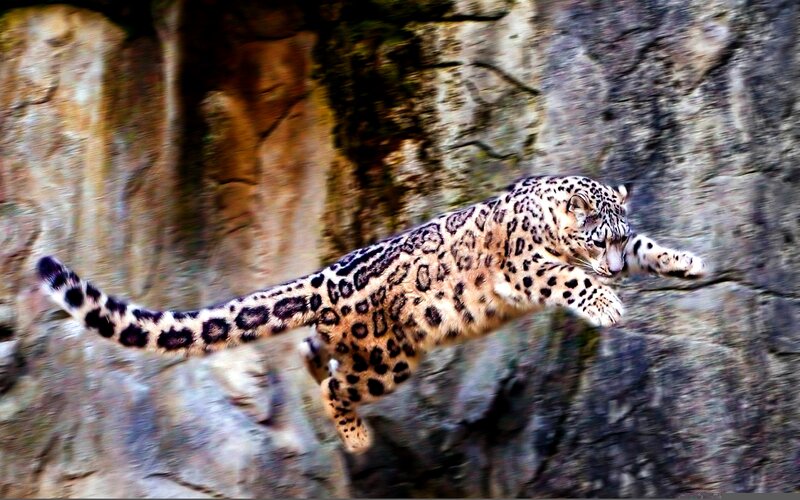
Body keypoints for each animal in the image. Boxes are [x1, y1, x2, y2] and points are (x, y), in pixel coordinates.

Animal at [36, 175, 707, 454]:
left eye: (619, 236)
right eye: (596, 239)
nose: (612, 269)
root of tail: (325, 278)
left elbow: (651, 249)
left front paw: (686, 261)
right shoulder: (527, 266)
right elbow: (564, 276)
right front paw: (608, 304)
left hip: (363, 347)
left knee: (315, 353)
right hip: (391, 356)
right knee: (337, 385)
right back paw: (357, 439)